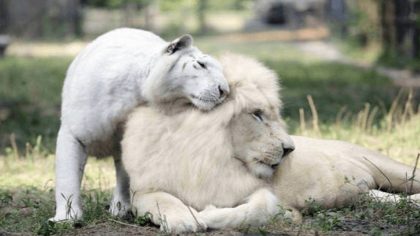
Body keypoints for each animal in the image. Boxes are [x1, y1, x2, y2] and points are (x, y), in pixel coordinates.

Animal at [52, 28, 230, 221]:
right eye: (201, 65)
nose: (225, 91)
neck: (137, 92)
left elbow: (125, 177)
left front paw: (121, 208)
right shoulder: (73, 134)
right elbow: (67, 177)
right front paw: (66, 218)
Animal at [122, 53, 420, 232]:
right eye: (257, 114)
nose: (290, 149)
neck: (208, 156)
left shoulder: (262, 193)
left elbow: (254, 211)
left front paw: (206, 214)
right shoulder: (145, 189)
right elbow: (164, 203)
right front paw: (184, 218)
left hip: (394, 170)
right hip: (366, 191)